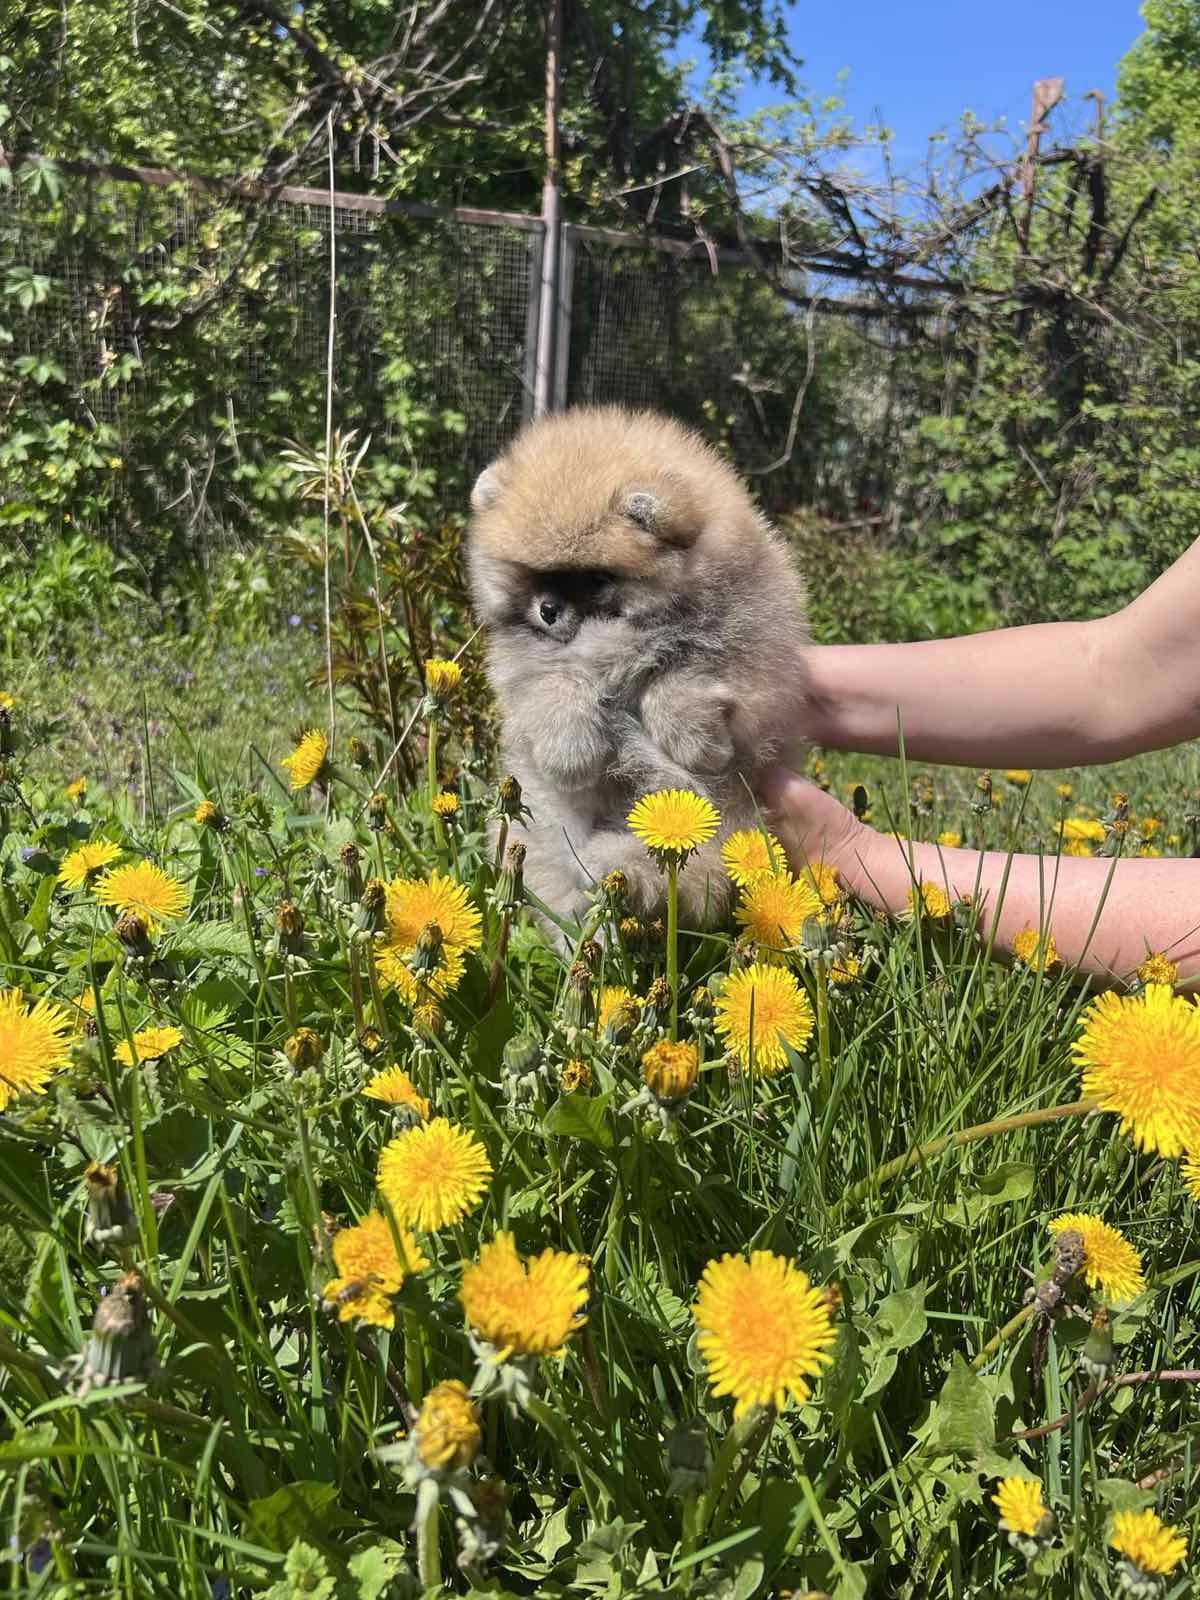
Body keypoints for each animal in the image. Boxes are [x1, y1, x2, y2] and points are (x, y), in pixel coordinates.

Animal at [464, 403, 812, 928]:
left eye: (594, 577)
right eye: (538, 574)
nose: (547, 609)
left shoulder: (756, 654)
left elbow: (683, 673)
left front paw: (692, 737)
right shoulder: (524, 660)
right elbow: (553, 684)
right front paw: (572, 750)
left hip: (723, 826)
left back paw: (618, 864)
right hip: (537, 838)